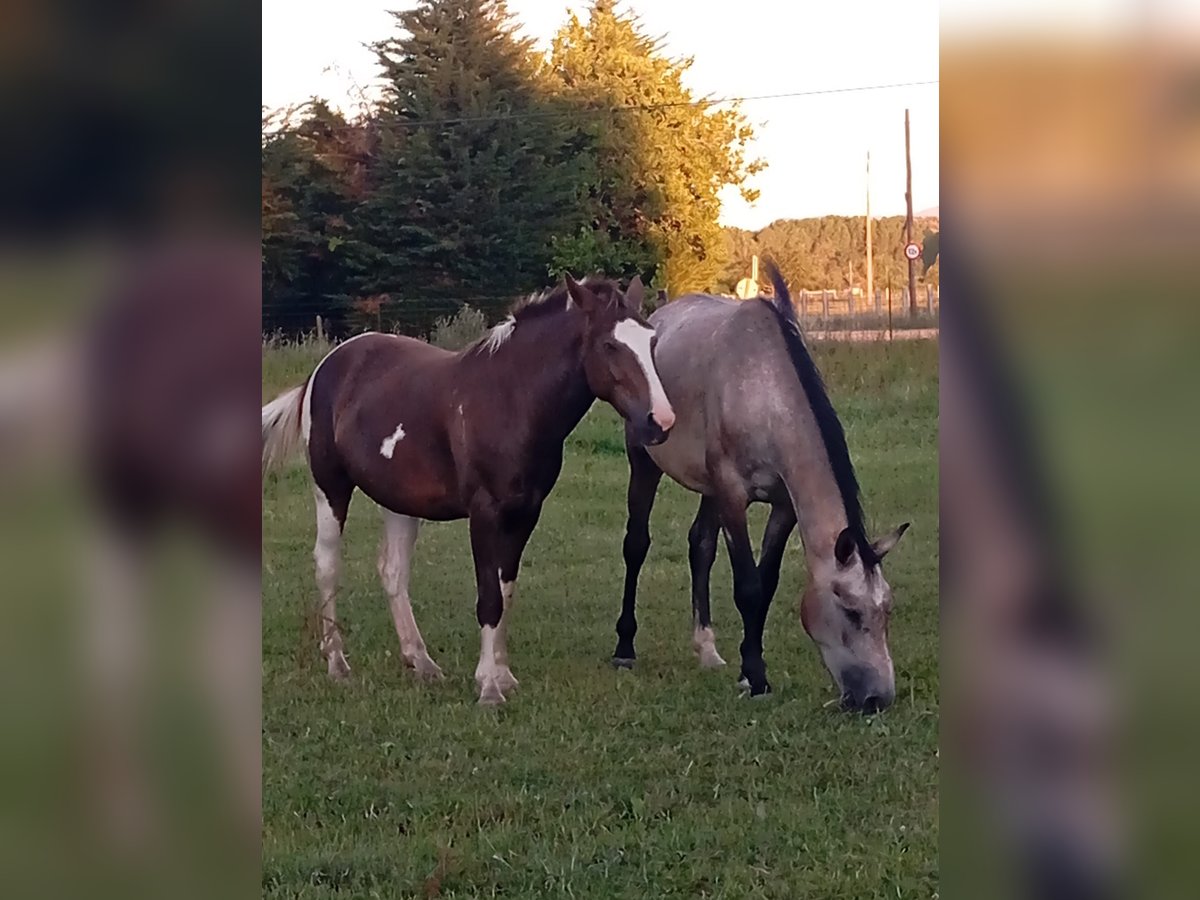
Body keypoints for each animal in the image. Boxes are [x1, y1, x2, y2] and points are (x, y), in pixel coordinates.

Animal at [262, 274, 676, 705]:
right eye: (610, 345)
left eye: (651, 341)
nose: (661, 421)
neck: (510, 399)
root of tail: (326, 367)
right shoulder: (485, 513)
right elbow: (489, 597)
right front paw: (489, 689)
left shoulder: (525, 513)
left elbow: (505, 591)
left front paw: (502, 675)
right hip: (330, 488)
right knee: (327, 565)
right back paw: (337, 664)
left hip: (399, 501)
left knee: (393, 571)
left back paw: (422, 662)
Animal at [614, 260, 902, 710]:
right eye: (851, 611)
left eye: (887, 609)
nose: (878, 699)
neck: (764, 391)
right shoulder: (733, 494)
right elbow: (747, 586)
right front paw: (756, 678)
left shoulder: (782, 505)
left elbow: (764, 585)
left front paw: (747, 670)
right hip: (643, 460)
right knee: (636, 544)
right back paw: (624, 648)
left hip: (708, 488)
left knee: (700, 546)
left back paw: (707, 649)